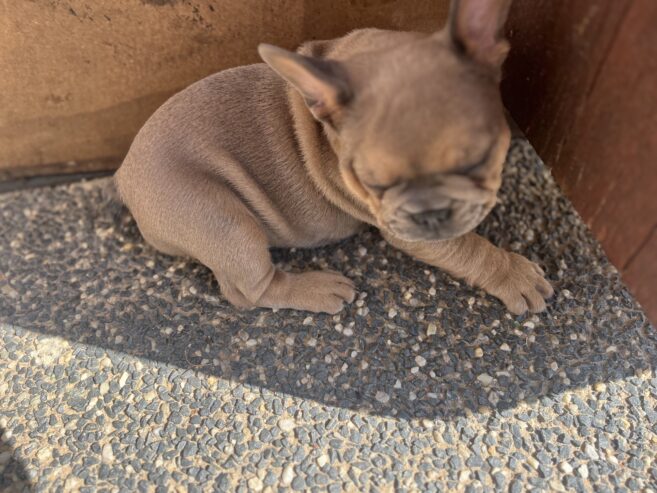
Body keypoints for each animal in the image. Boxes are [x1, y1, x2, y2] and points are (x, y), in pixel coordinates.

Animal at [115, 0, 552, 316]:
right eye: (372, 182)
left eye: (479, 160)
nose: (430, 215)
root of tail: (122, 176)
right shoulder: (400, 225)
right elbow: (467, 247)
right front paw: (511, 272)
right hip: (219, 221)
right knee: (249, 290)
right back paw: (315, 288)